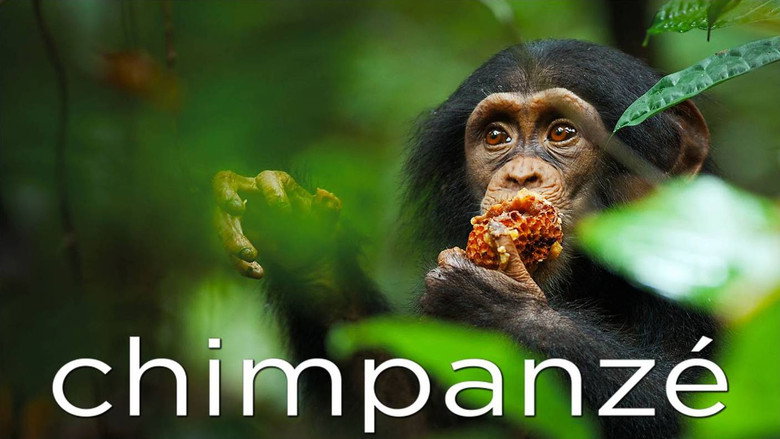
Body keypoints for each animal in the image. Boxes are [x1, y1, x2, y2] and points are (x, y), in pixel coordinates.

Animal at [213, 39, 719, 438]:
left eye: (562, 131)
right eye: (497, 136)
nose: (520, 175)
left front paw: (496, 305)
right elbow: (402, 414)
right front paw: (295, 229)